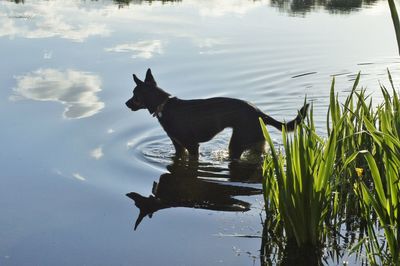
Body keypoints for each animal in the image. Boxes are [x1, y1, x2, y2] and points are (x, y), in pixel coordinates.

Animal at [126, 69, 308, 160]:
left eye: (134, 95)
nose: (126, 104)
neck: (164, 105)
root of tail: (260, 113)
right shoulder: (178, 146)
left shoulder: (192, 145)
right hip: (256, 144)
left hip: (237, 143)